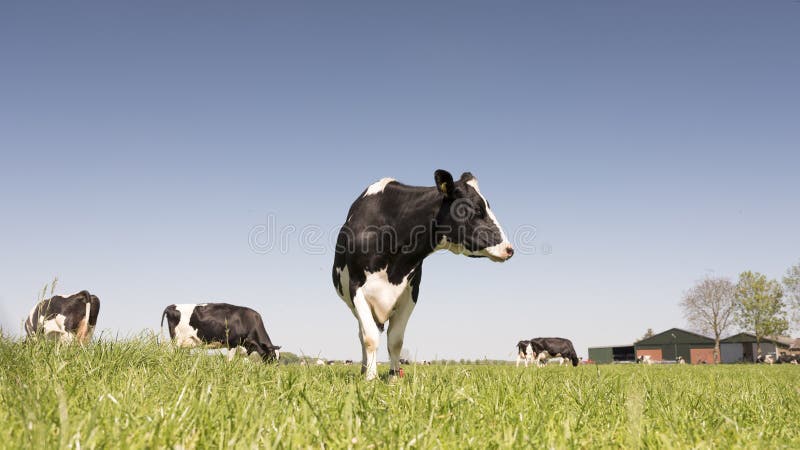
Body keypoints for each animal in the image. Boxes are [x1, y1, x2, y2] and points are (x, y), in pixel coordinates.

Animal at [332, 170, 512, 380]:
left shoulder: (411, 293)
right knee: (362, 335)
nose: (509, 249)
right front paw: (370, 378)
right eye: (476, 209)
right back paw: (364, 369)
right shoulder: (357, 288)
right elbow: (369, 338)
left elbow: (395, 340)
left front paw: (394, 378)